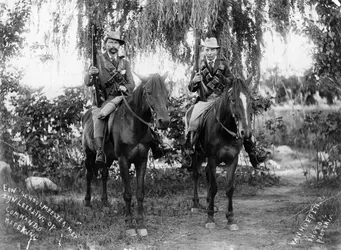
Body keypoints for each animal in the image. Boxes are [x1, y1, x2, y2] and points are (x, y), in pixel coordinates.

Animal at [81, 73, 169, 236]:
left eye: (166, 93)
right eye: (148, 92)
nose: (164, 121)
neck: (132, 123)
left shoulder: (142, 160)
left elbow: (140, 192)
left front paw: (140, 223)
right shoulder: (123, 160)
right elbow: (127, 193)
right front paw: (129, 224)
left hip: (108, 158)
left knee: (104, 175)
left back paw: (105, 202)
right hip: (89, 154)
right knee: (89, 175)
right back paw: (88, 203)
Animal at [186, 75, 252, 230]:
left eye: (249, 100)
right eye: (233, 100)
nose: (245, 132)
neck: (225, 131)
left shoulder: (232, 160)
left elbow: (229, 188)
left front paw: (230, 219)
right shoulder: (212, 159)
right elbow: (214, 187)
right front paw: (210, 218)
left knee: (206, 175)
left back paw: (209, 203)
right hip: (197, 154)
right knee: (196, 175)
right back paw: (196, 204)